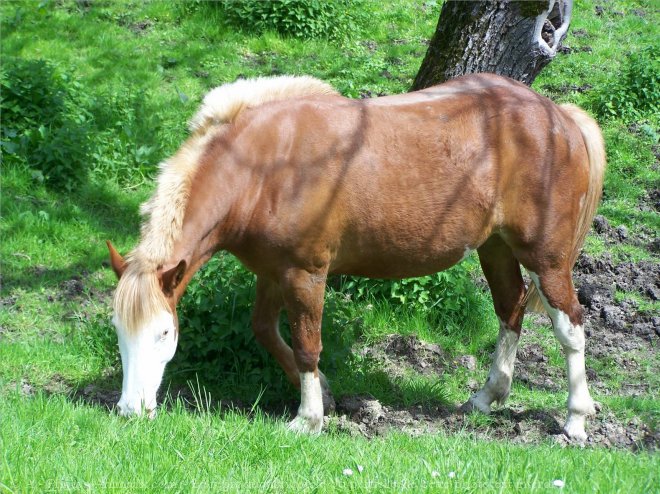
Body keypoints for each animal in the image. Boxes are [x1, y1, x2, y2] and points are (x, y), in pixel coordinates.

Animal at [107, 73, 604, 440]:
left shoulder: (305, 273)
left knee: (570, 327)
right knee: (510, 307)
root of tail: (559, 116)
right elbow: (265, 329)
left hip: (546, 259)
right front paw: (324, 395)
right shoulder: (272, 272)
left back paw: (576, 419)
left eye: (164, 333)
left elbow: (307, 344)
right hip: (495, 247)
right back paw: (487, 397)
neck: (265, 169)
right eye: (118, 331)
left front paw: (307, 419)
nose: (131, 410)